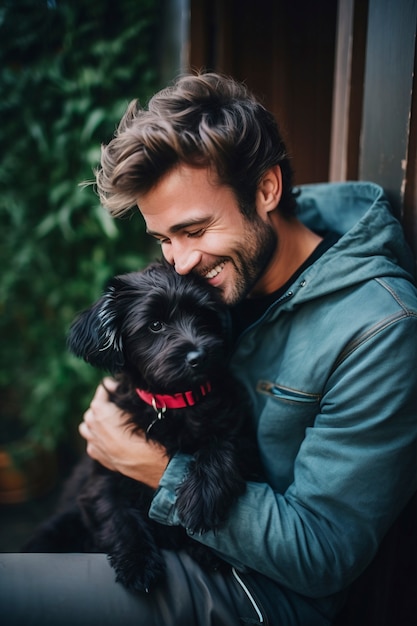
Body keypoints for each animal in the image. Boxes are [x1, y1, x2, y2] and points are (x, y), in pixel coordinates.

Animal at [24, 258, 258, 588]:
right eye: (155, 325)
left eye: (203, 315)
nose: (199, 356)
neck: (176, 402)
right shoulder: (102, 476)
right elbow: (117, 515)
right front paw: (137, 562)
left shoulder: (240, 430)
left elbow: (225, 445)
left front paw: (202, 501)